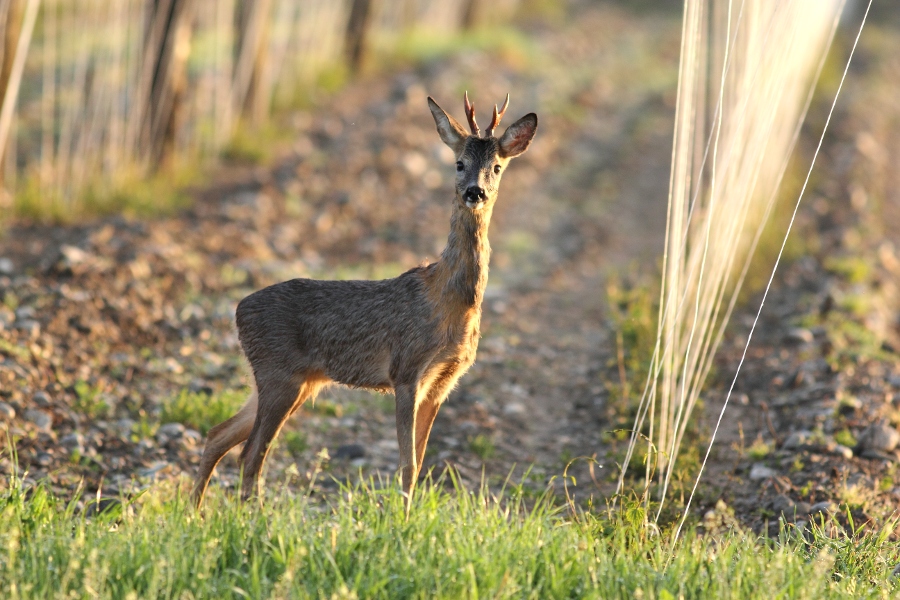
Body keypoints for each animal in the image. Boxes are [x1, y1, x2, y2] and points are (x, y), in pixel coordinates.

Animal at [191, 92, 536, 506]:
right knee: (251, 453)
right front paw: (400, 516)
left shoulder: (444, 382)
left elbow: (420, 462)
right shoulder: (406, 369)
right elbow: (407, 465)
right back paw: (246, 515)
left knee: (219, 435)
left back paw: (193, 512)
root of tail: (238, 311)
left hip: (290, 382)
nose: (474, 192)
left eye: (497, 167)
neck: (452, 304)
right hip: (279, 374)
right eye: (459, 163)